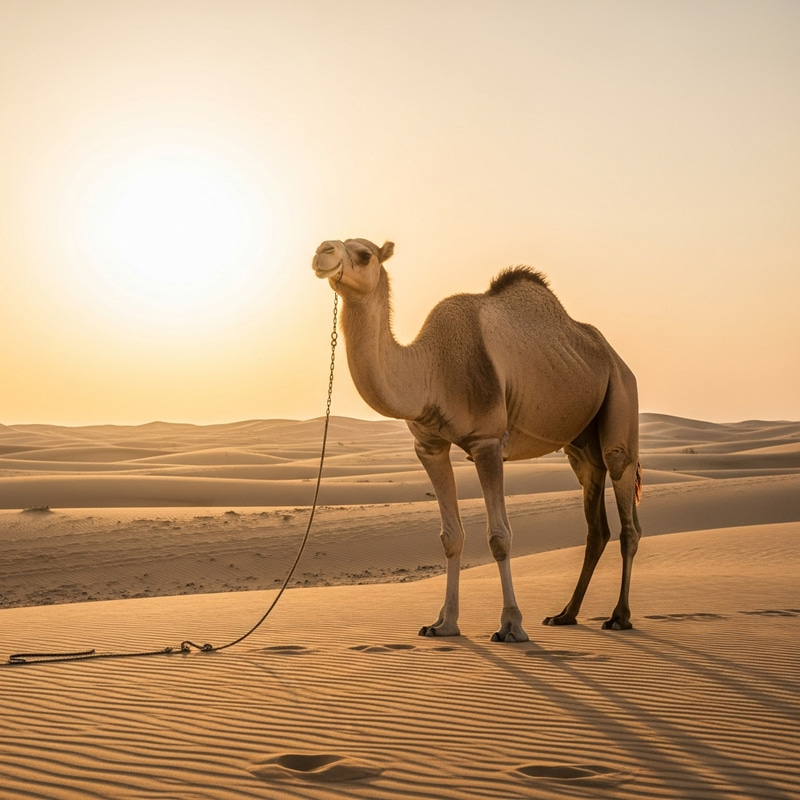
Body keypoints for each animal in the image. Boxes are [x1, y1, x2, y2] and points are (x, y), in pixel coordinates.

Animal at [312, 238, 642, 643]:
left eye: (364, 254)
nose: (322, 251)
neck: (431, 369)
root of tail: (616, 358)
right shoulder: (429, 447)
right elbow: (450, 536)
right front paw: (443, 624)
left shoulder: (487, 442)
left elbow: (499, 536)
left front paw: (511, 625)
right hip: (580, 445)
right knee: (596, 521)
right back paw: (565, 614)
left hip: (621, 399)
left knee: (626, 509)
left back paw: (619, 616)